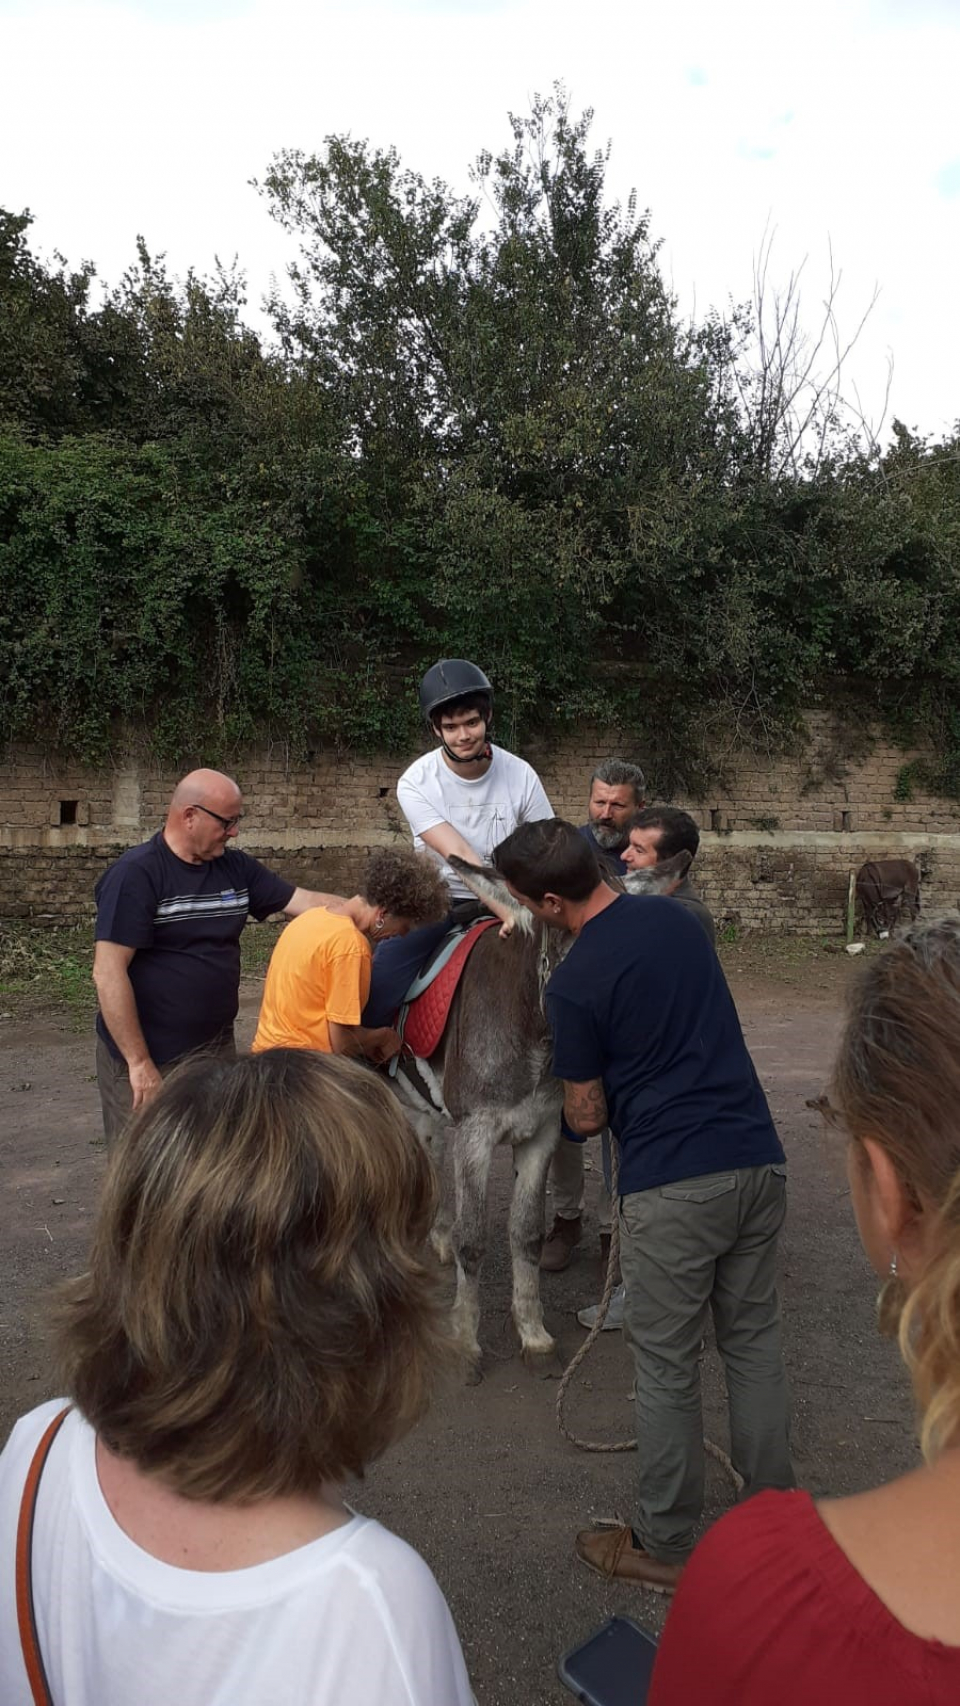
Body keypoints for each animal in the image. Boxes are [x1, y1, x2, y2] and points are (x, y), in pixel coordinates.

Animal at [393, 850, 692, 1381]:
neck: (529, 1029)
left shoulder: (541, 1132)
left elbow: (527, 1233)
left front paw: (534, 1336)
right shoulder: (476, 1132)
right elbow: (475, 1239)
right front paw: (466, 1343)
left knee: (431, 1150)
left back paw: (438, 1235)